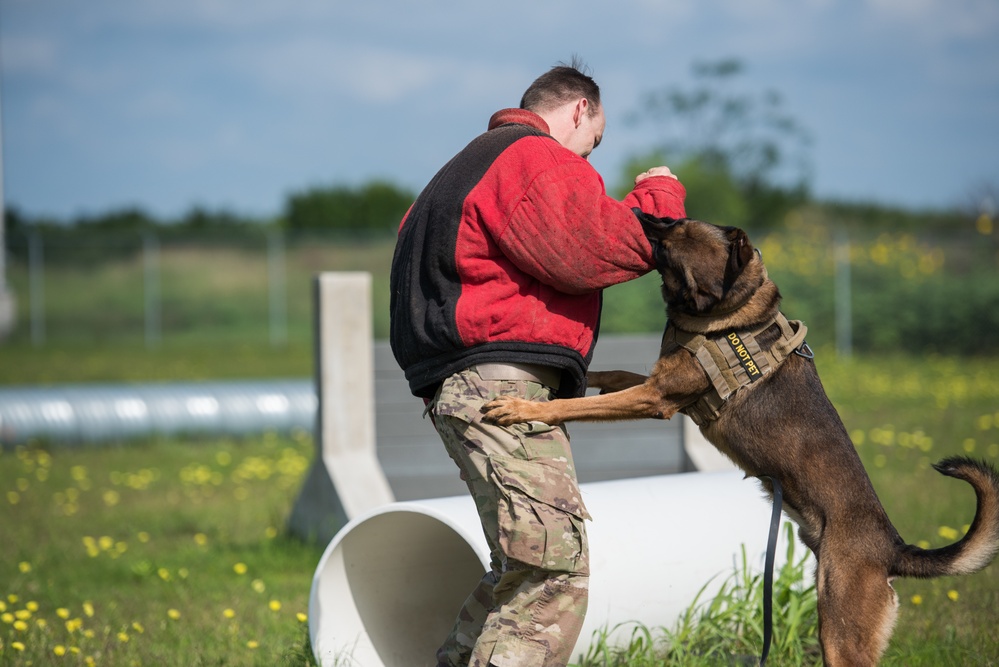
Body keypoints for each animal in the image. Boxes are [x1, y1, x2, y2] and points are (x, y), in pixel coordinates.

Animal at [482, 214, 999, 667]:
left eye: (676, 229)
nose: (642, 212)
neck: (730, 312)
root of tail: (893, 546)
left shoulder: (655, 398)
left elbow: (580, 405)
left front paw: (524, 408)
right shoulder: (660, 389)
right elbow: (606, 377)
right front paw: (570, 377)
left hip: (839, 631)